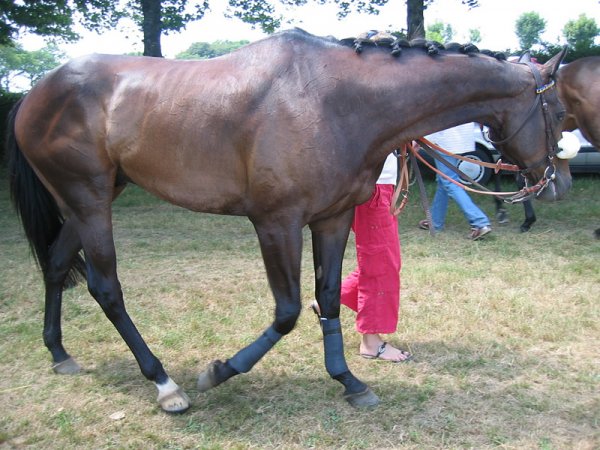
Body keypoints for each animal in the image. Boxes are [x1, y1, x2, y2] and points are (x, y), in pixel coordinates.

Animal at [5, 29, 568, 414]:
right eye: (560, 112)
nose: (556, 182)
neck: (336, 101)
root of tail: (36, 92)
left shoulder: (333, 218)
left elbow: (329, 297)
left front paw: (348, 381)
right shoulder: (276, 223)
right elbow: (289, 310)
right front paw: (221, 371)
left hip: (87, 201)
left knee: (56, 265)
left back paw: (59, 352)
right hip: (90, 200)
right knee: (106, 287)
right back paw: (165, 385)